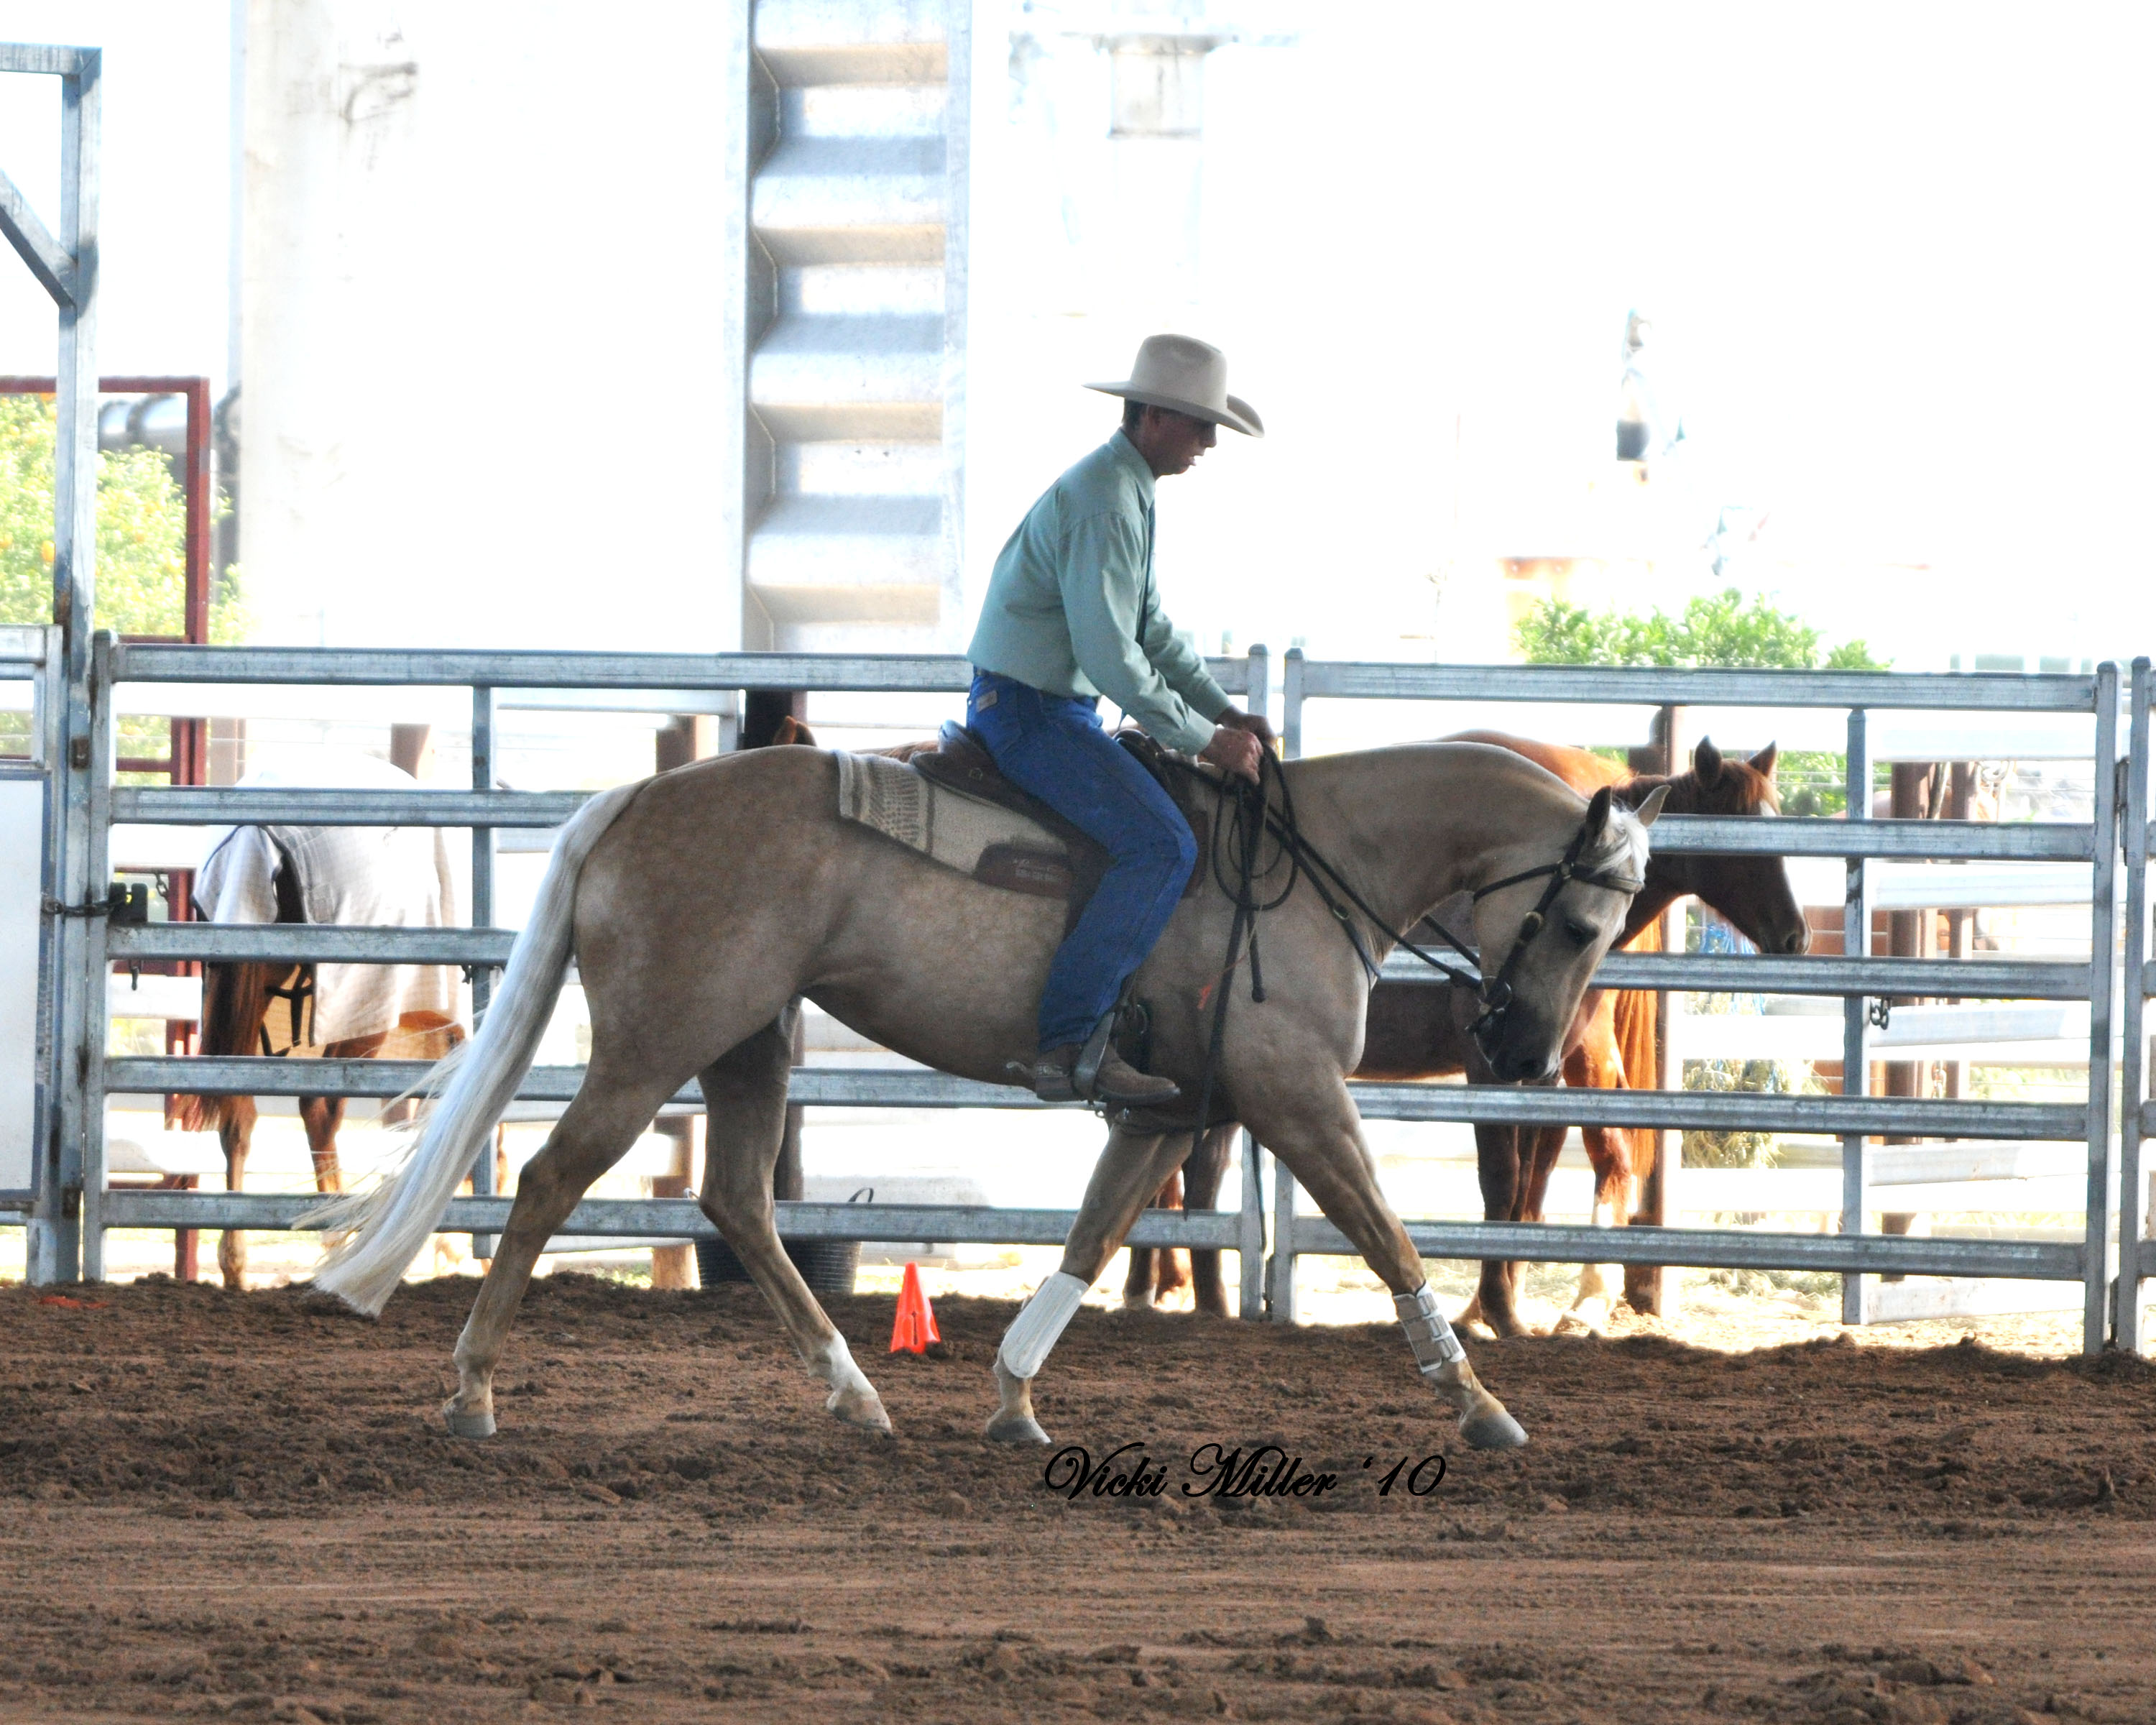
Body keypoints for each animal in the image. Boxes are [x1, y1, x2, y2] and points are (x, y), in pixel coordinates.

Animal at [175, 754, 461, 1287]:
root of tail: (255, 840)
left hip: (248, 994)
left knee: (238, 1118)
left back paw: (235, 1264)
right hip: (359, 1012)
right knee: (320, 1111)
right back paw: (336, 1241)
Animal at [306, 740, 1665, 1452]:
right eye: (1581, 920)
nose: (1526, 1052)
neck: (1318, 867)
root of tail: (639, 798)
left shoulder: (1168, 1112)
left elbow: (1094, 1237)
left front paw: (1015, 1397)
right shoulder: (1297, 1099)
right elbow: (1388, 1240)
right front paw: (1482, 1404)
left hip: (748, 1045)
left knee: (739, 1201)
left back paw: (857, 1394)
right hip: (655, 1048)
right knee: (547, 1180)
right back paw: (472, 1391)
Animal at [1123, 735, 1804, 1337]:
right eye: (1746, 839)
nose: (1795, 935)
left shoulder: (1539, 1071)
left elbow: (1531, 1188)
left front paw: (1499, 1303)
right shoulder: (1489, 1067)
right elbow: (1502, 1181)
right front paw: (1496, 1309)